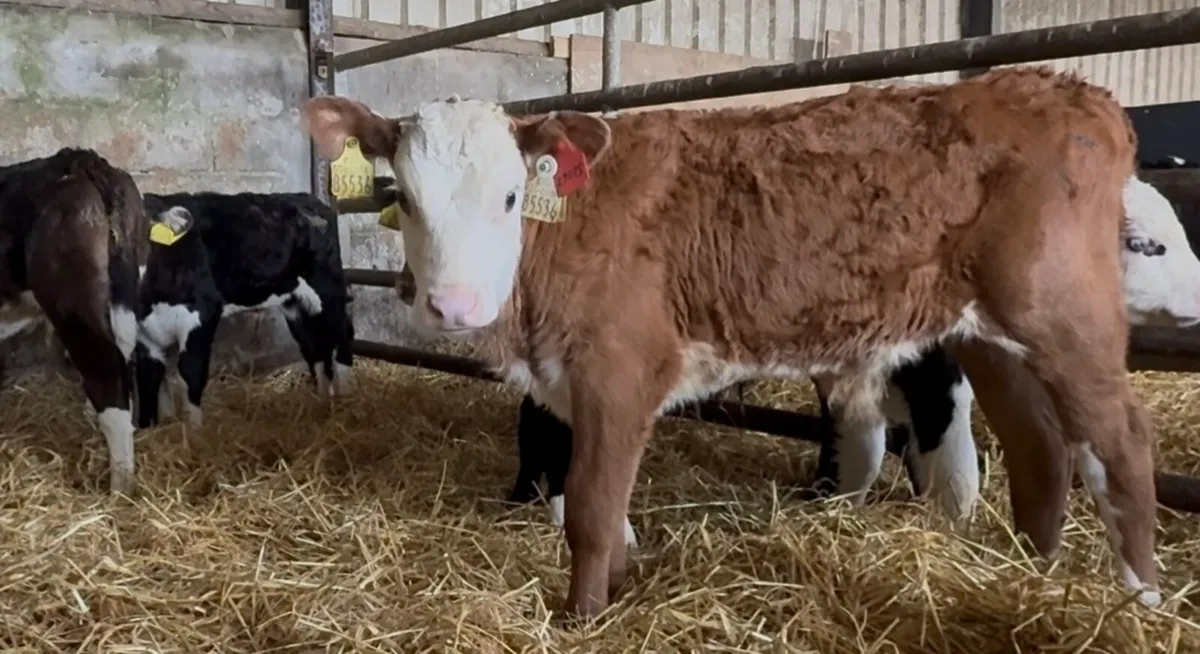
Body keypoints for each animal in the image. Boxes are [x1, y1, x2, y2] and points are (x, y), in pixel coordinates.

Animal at [135, 191, 354, 429]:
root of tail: (309, 199)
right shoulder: (142, 335)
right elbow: (148, 378)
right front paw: (154, 427)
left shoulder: (202, 314)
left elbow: (191, 371)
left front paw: (195, 431)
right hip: (295, 302)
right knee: (312, 345)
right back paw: (321, 401)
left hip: (326, 286)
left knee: (343, 333)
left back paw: (345, 399)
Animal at [301, 66, 1161, 616]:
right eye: (403, 198)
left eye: (512, 196)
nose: (453, 304)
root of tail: (1074, 92)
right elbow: (610, 510)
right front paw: (619, 589)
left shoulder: (620, 369)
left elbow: (590, 509)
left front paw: (581, 618)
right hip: (986, 333)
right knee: (1040, 447)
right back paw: (1033, 571)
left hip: (1066, 313)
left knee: (1120, 443)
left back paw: (1139, 597)